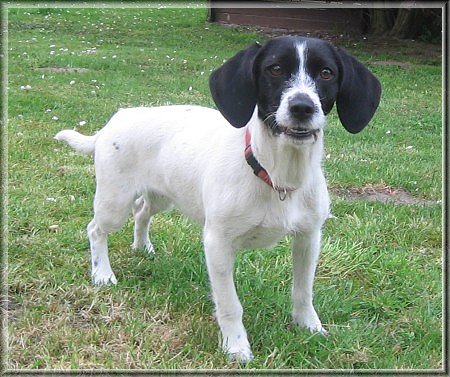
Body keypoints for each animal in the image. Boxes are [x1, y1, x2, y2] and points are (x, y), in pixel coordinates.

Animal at [55, 36, 380, 362]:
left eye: (326, 73)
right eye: (274, 69)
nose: (302, 106)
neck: (277, 175)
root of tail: (112, 123)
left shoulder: (309, 237)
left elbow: (303, 291)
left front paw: (309, 326)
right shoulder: (218, 244)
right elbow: (229, 304)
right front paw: (236, 346)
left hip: (162, 196)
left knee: (142, 211)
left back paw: (142, 247)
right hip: (114, 201)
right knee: (96, 229)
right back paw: (102, 273)